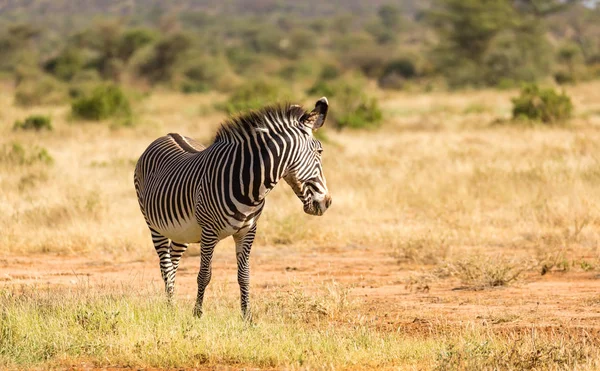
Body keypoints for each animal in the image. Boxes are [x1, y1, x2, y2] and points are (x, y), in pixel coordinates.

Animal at [134, 98, 332, 320]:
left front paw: (247, 317)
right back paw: (170, 309)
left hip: (181, 230)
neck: (249, 185)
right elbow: (204, 275)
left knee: (174, 262)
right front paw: (197, 314)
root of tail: (167, 134)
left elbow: (244, 276)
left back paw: (172, 305)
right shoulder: (209, 231)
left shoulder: (248, 230)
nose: (326, 202)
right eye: (320, 151)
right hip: (154, 226)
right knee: (166, 267)